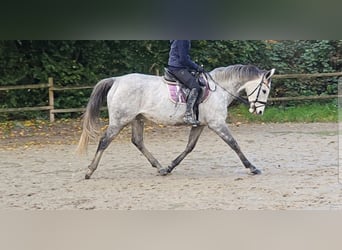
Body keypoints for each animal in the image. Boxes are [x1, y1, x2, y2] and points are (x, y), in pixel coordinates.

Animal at [77, 64, 276, 178]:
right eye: (265, 90)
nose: (259, 112)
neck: (219, 89)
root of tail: (117, 80)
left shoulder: (200, 125)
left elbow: (189, 147)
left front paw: (170, 166)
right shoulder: (217, 124)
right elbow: (234, 144)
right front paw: (252, 167)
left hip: (137, 119)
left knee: (137, 141)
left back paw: (160, 168)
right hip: (119, 120)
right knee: (104, 141)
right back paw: (89, 171)